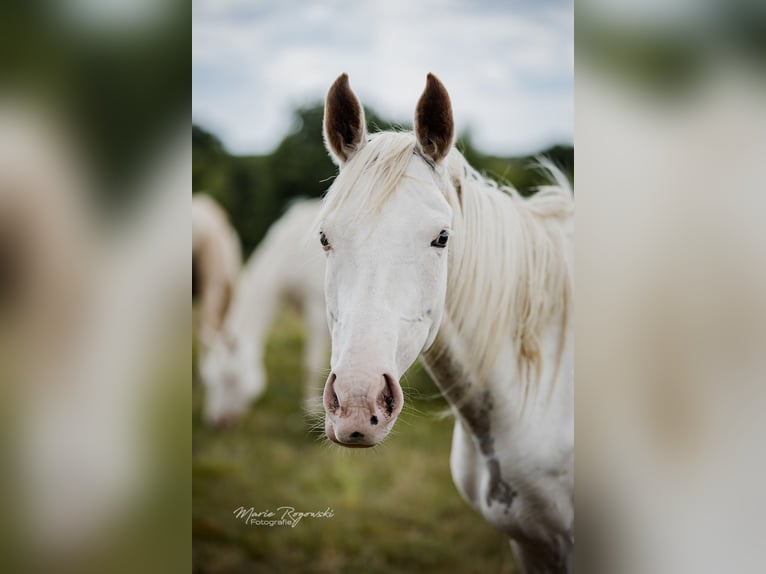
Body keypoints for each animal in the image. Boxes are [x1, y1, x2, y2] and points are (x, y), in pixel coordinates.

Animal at [199, 198, 328, 425]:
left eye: (230, 379)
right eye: (208, 380)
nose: (215, 422)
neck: (290, 254)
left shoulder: (317, 310)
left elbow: (312, 363)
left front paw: (311, 410)